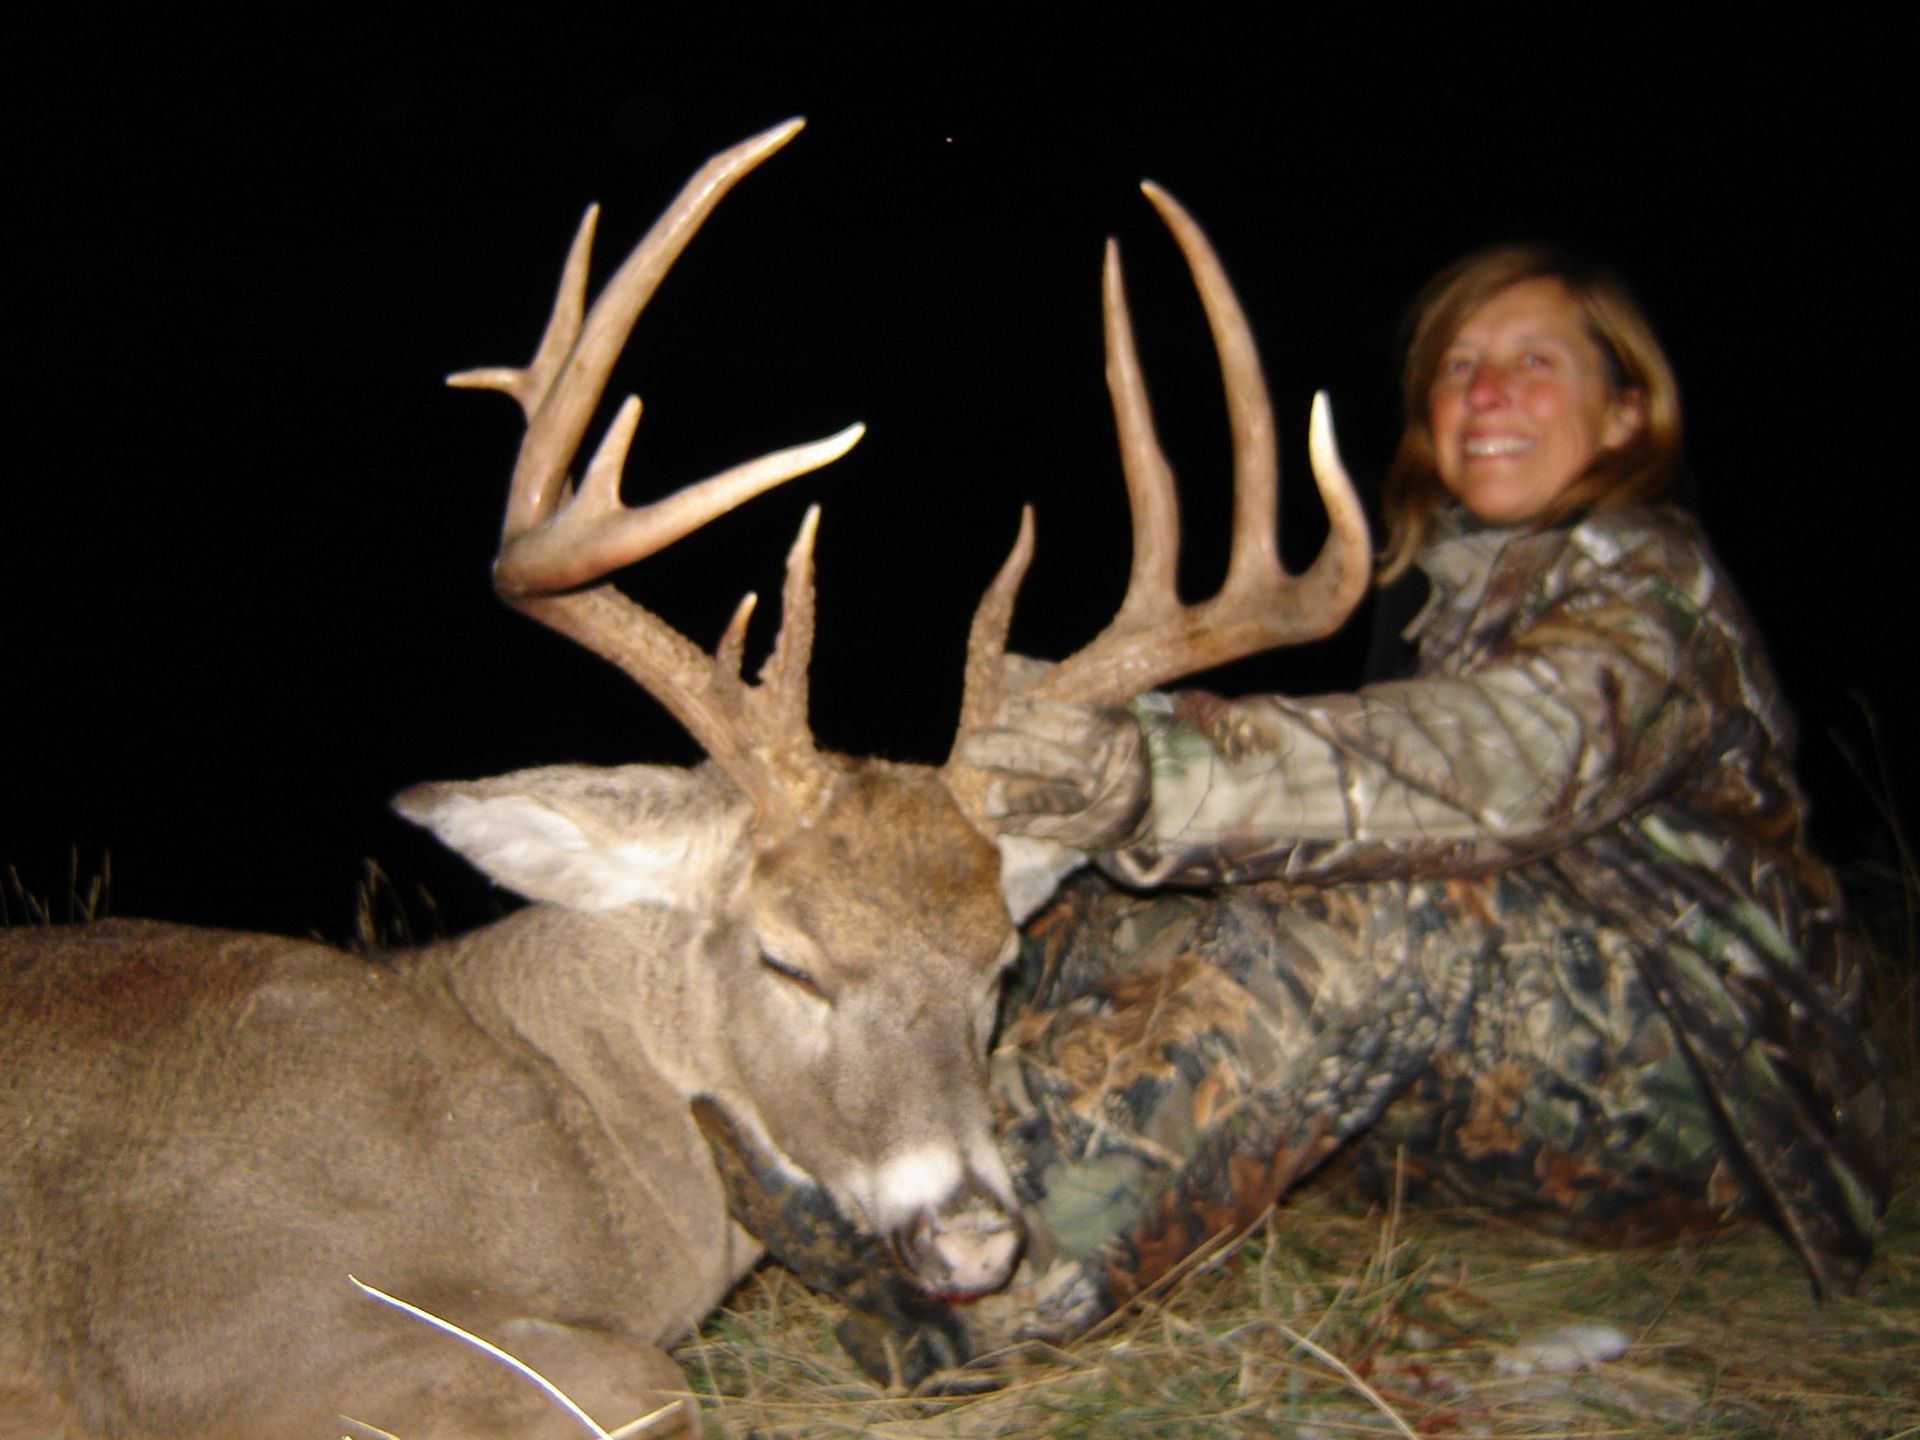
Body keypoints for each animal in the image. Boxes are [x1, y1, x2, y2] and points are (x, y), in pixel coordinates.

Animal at [0, 118, 1368, 1438]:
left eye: (1001, 965)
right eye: (787, 961)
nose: (976, 1242)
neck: (556, 1125)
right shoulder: (218, 1327)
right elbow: (644, 1381)